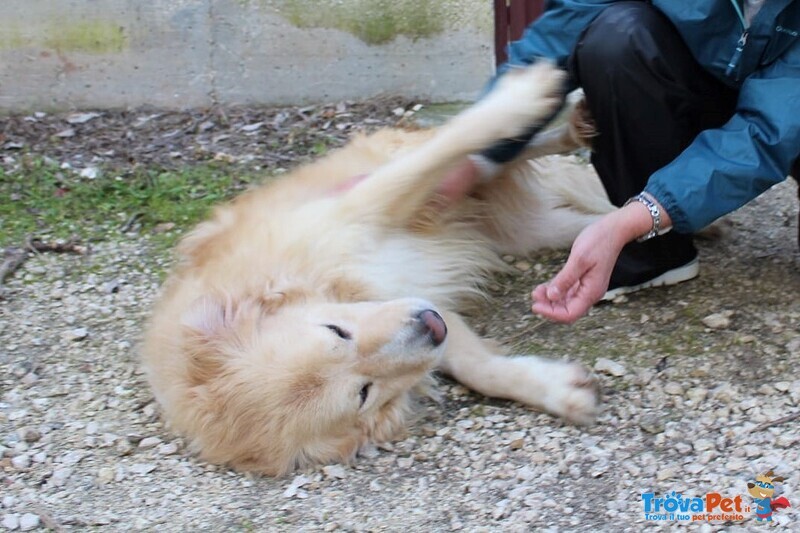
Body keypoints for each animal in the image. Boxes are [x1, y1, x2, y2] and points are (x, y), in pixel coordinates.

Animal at [139, 64, 612, 476]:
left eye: (336, 331)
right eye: (363, 393)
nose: (428, 326)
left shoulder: (361, 208)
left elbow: (447, 146)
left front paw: (527, 93)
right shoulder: (418, 303)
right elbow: (477, 368)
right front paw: (560, 391)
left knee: (484, 152)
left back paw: (569, 124)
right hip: (526, 231)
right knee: (577, 221)